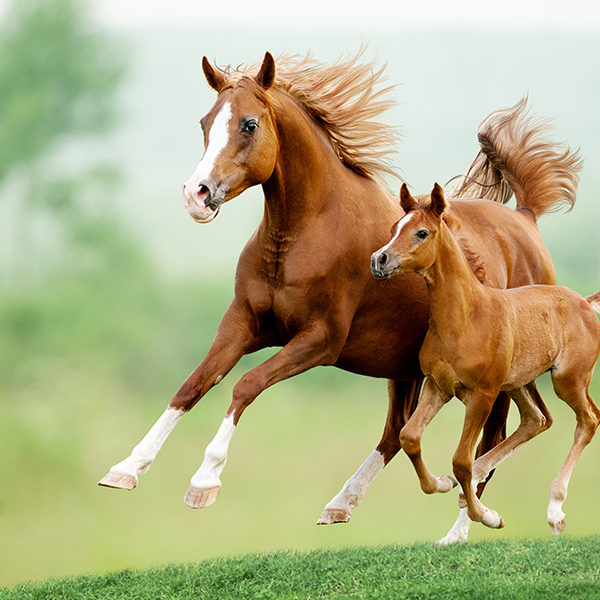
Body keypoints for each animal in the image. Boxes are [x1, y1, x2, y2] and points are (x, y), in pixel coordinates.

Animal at [370, 183, 600, 536]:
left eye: (422, 232)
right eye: (395, 227)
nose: (379, 259)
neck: (467, 317)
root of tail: (587, 303)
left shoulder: (482, 395)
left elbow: (460, 460)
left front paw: (487, 516)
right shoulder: (438, 387)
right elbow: (410, 437)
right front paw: (442, 484)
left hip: (567, 380)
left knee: (588, 419)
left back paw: (555, 510)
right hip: (517, 383)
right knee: (536, 419)